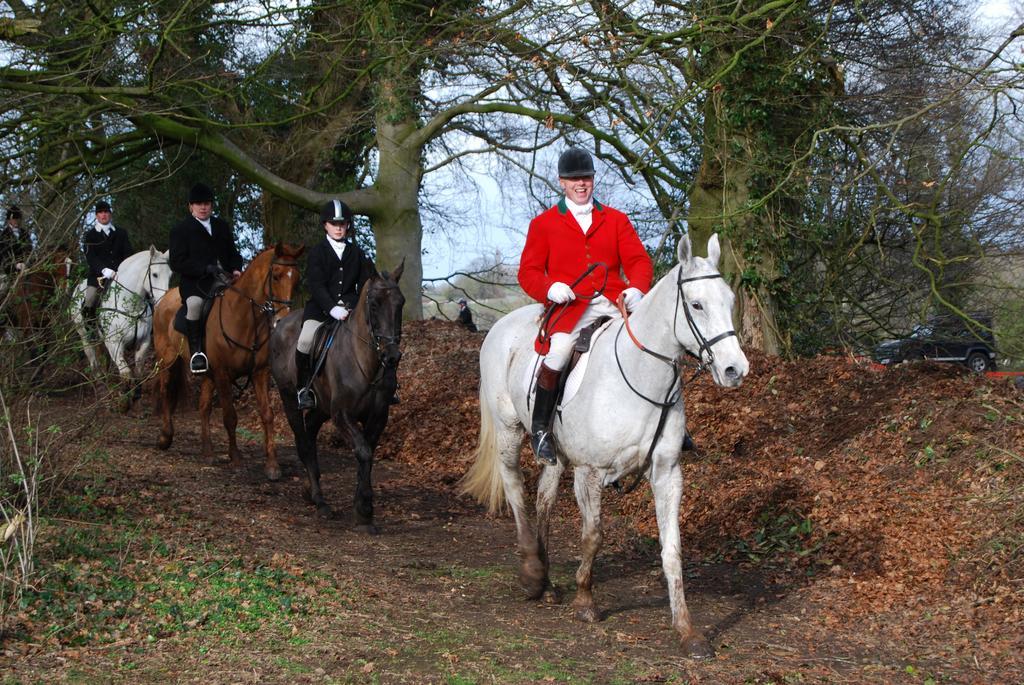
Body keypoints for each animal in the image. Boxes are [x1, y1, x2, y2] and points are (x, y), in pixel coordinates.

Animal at [72, 245, 172, 378]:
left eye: (170, 275)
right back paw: (97, 374)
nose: (165, 302)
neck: (131, 307)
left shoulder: (144, 341)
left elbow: (139, 367)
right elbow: (126, 374)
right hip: (83, 332)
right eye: (155, 274)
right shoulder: (114, 344)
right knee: (90, 351)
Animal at [151, 242, 303, 479]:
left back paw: (207, 451)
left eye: (296, 279)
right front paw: (236, 458)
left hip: (207, 373)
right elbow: (230, 416)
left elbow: (267, 415)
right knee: (166, 391)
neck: (245, 317)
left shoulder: (260, 372)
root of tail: (165, 299)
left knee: (203, 406)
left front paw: (272, 465)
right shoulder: (223, 374)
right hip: (168, 360)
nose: (281, 320)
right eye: (276, 276)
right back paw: (165, 437)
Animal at [270, 264, 405, 528]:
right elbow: (362, 451)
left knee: (310, 433)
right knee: (303, 442)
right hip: (289, 397)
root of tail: (281, 323)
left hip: (321, 407)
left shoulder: (378, 416)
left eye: (400, 303)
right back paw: (320, 501)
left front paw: (361, 506)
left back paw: (309, 490)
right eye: (374, 304)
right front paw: (364, 508)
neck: (366, 360)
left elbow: (367, 454)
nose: (392, 356)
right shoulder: (342, 414)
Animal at [466, 231, 753, 655]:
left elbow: (672, 549)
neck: (640, 373)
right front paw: (586, 602)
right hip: (508, 429)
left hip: (553, 453)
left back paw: (547, 580)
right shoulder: (590, 472)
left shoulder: (667, 473)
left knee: (543, 498)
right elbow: (593, 535)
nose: (735, 369)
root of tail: (504, 324)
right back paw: (532, 572)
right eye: (697, 304)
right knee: (515, 488)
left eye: (730, 301)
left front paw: (687, 630)